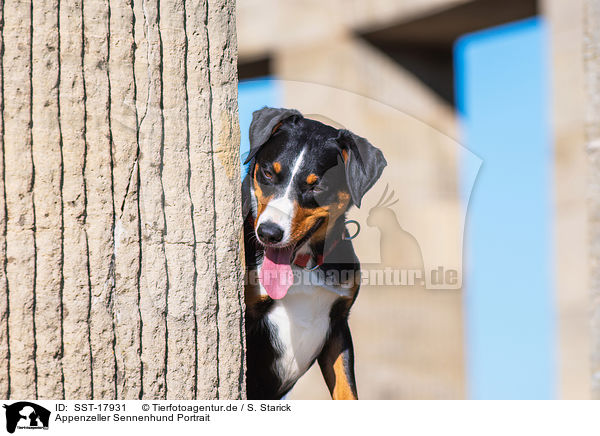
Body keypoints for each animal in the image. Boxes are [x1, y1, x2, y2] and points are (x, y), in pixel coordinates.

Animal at [245, 107, 390, 400]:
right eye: (268, 173)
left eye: (317, 187)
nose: (268, 233)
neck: (303, 264)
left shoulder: (338, 326)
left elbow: (347, 392)